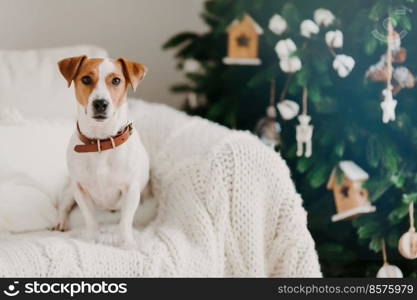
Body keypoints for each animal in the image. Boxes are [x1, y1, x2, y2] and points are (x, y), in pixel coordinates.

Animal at [54, 56, 150, 248]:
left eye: (116, 80)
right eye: (86, 79)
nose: (100, 103)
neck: (100, 142)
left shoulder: (131, 190)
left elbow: (125, 221)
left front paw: (127, 243)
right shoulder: (80, 189)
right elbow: (90, 219)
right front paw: (91, 239)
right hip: (69, 190)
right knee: (63, 206)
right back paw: (61, 221)